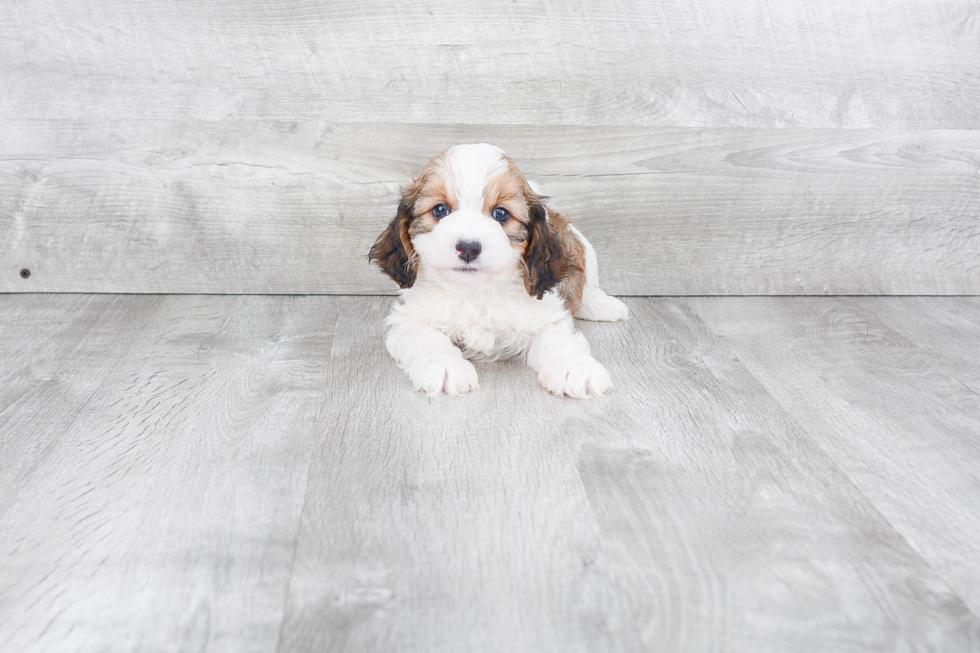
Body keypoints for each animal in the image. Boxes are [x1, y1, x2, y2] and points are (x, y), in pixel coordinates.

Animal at [368, 143, 628, 398]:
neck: (476, 292)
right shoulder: (409, 318)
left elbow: (558, 340)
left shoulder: (545, 314)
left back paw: (605, 306)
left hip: (583, 247)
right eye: (440, 210)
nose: (468, 247)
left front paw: (575, 368)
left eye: (501, 213)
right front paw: (445, 367)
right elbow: (427, 337)